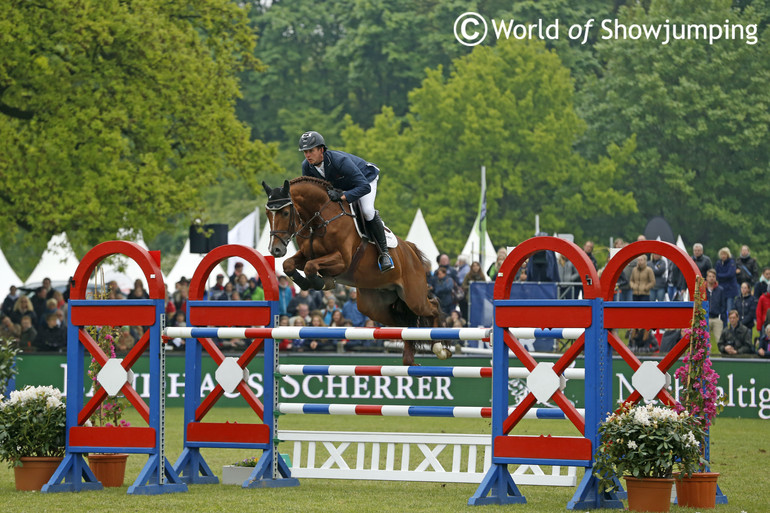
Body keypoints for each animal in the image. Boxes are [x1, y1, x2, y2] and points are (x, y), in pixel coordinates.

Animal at [260, 176, 448, 364]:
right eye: (268, 214)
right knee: (403, 323)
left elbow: (311, 266)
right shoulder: (306, 255)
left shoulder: (342, 260)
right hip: (373, 306)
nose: (275, 250)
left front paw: (322, 282)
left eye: (285, 213)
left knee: (432, 306)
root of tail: (410, 250)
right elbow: (289, 264)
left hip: (413, 297)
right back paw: (409, 360)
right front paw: (310, 282)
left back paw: (439, 348)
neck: (320, 218)